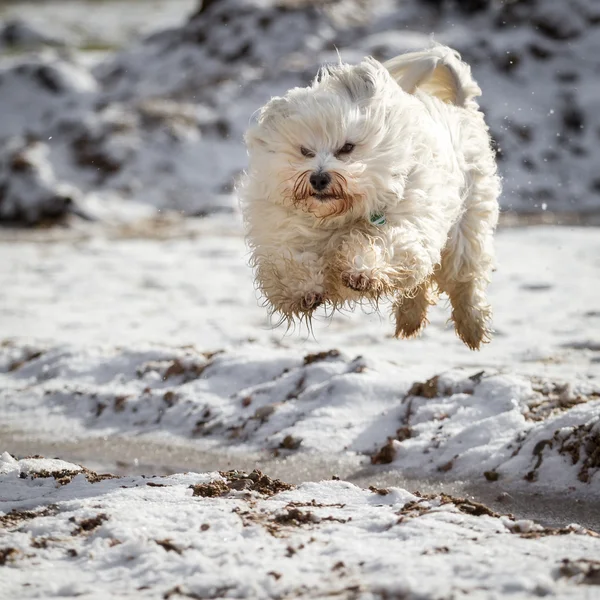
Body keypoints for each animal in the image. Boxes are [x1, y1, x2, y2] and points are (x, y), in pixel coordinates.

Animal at [241, 45, 500, 352]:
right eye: (305, 151)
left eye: (347, 147)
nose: (318, 178)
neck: (340, 216)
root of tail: (460, 109)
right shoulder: (282, 233)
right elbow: (290, 260)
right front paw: (303, 290)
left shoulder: (407, 226)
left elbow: (386, 246)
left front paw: (361, 271)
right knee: (421, 281)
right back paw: (410, 320)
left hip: (467, 227)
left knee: (464, 280)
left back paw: (472, 327)